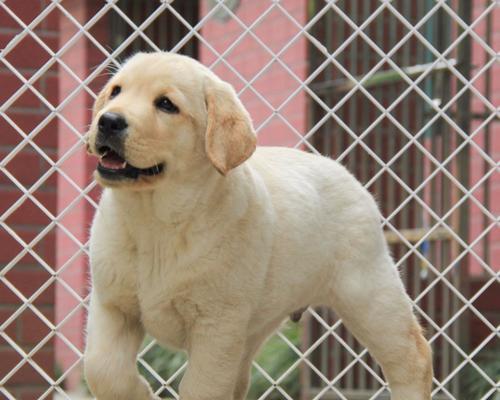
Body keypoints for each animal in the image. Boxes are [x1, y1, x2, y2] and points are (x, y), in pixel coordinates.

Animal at [84, 53, 432, 400]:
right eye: (116, 91)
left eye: (167, 105)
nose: (108, 121)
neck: (156, 222)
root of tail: (341, 171)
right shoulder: (112, 305)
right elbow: (104, 369)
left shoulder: (217, 324)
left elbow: (201, 387)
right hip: (251, 330)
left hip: (369, 294)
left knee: (412, 357)